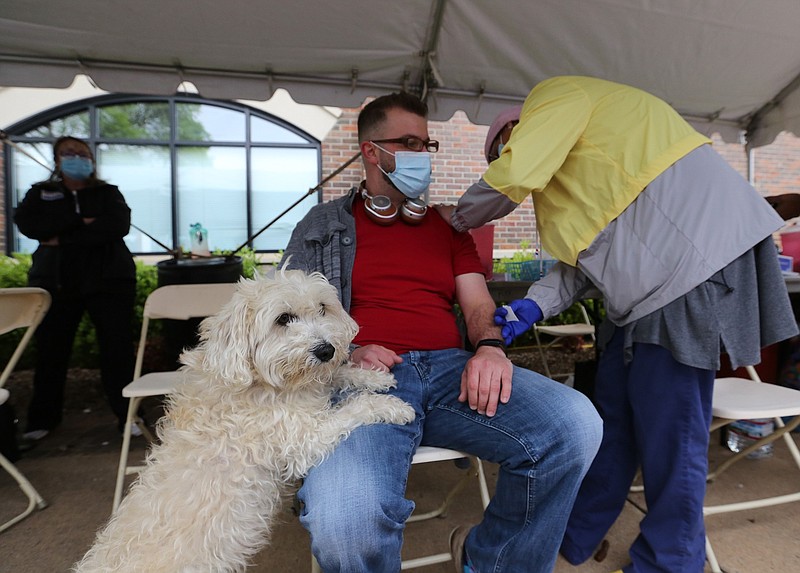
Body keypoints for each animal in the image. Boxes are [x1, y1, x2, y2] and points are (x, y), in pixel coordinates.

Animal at [72, 270, 416, 572]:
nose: (327, 350)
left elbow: (337, 377)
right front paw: (393, 406)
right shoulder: (303, 439)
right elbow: (354, 408)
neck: (259, 383)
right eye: (283, 319)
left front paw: (373, 376)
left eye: (322, 308)